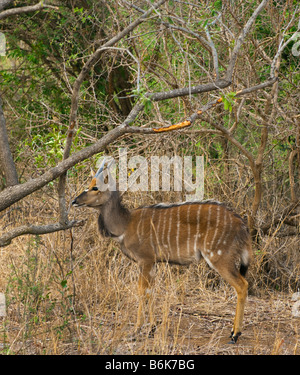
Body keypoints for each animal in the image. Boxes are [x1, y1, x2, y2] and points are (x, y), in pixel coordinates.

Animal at [71, 159, 252, 344]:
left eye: (95, 187)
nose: (74, 201)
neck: (125, 225)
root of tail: (241, 224)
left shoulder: (145, 260)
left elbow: (141, 290)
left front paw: (136, 330)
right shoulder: (152, 263)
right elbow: (151, 291)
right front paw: (151, 329)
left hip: (219, 257)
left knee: (242, 285)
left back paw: (235, 334)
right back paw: (233, 332)